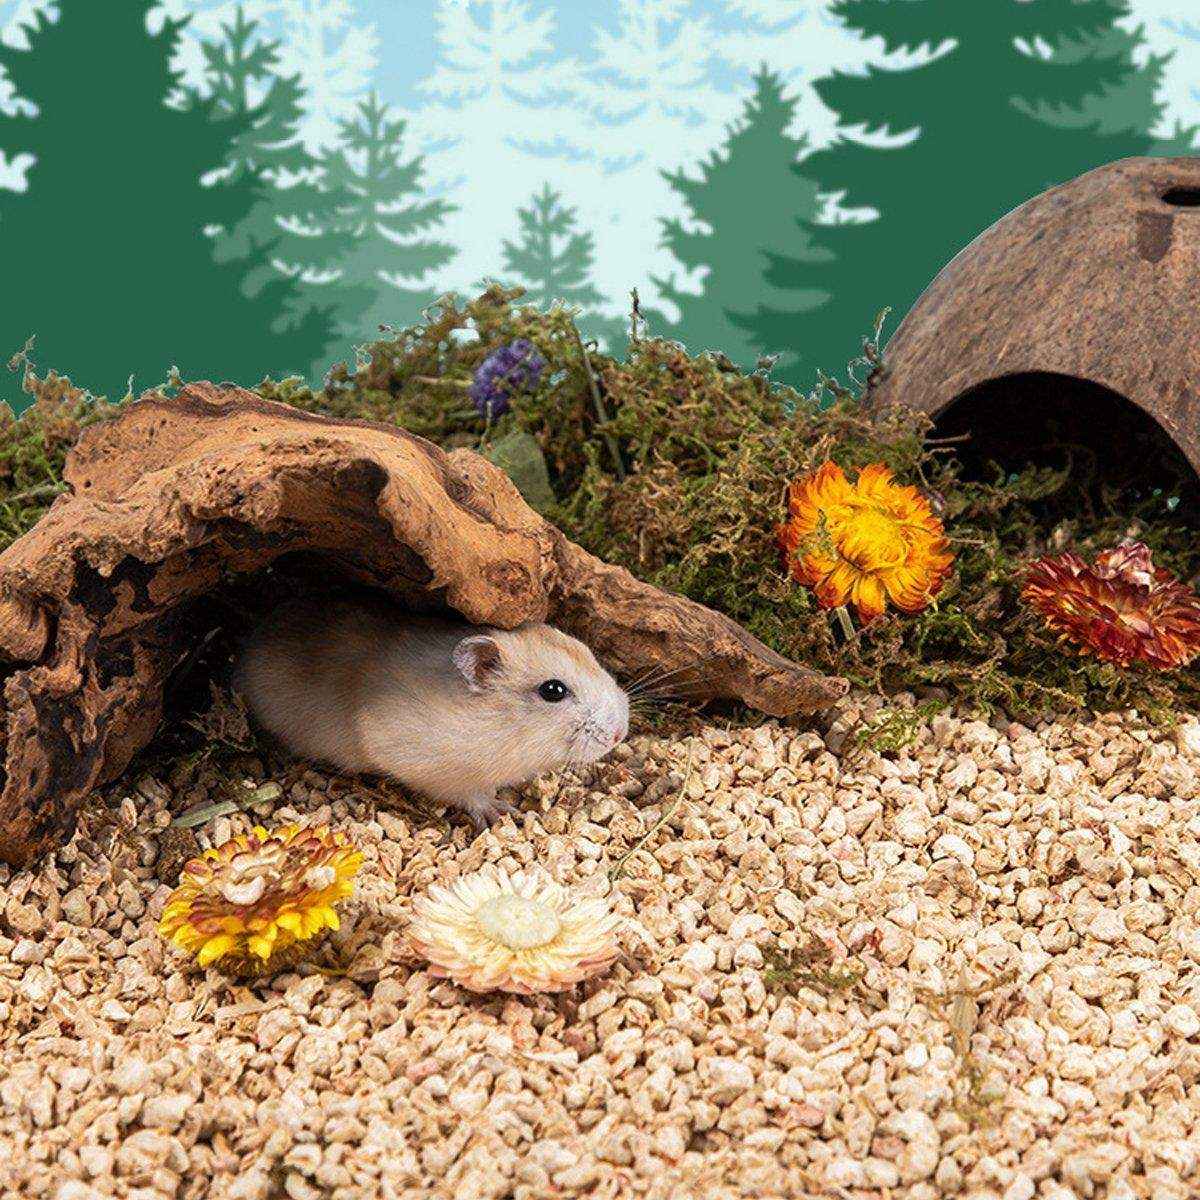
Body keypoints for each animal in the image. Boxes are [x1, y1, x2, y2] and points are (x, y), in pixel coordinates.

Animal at [234, 597, 630, 828]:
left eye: (588, 651)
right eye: (553, 691)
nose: (620, 733)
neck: (503, 728)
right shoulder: (425, 762)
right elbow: (471, 793)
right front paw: (501, 813)